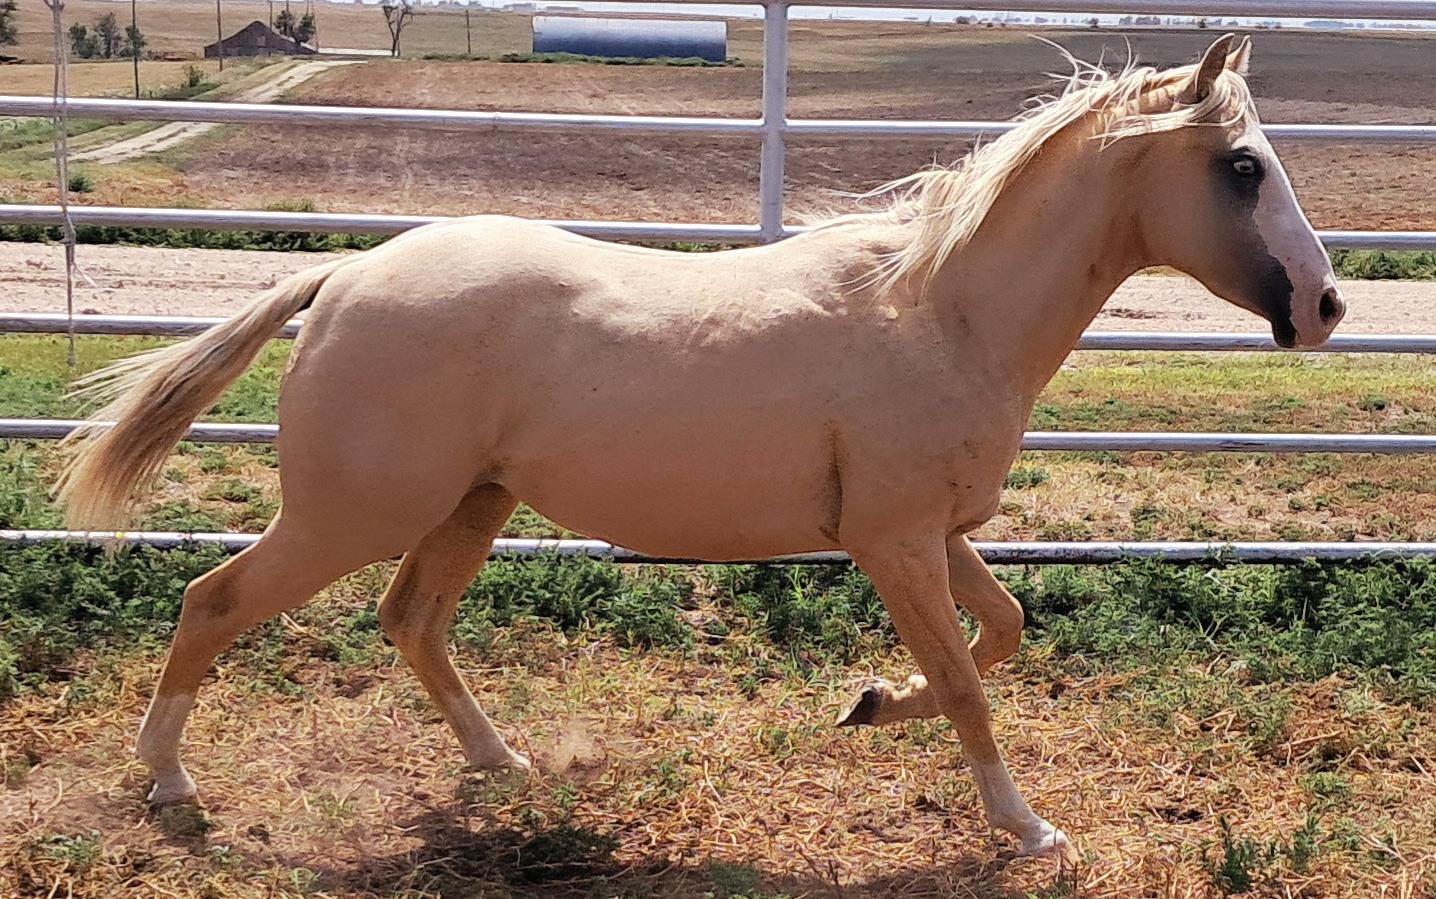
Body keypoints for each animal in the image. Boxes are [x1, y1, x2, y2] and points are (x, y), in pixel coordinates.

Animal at [57, 34, 1344, 863]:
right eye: (1241, 167)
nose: (1324, 309)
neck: (939, 310)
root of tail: (343, 274)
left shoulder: (927, 530)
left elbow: (1002, 633)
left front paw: (866, 702)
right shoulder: (890, 540)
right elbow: (972, 682)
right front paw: (1025, 829)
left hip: (472, 504)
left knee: (410, 621)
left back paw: (505, 763)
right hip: (350, 512)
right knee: (215, 601)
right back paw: (168, 783)